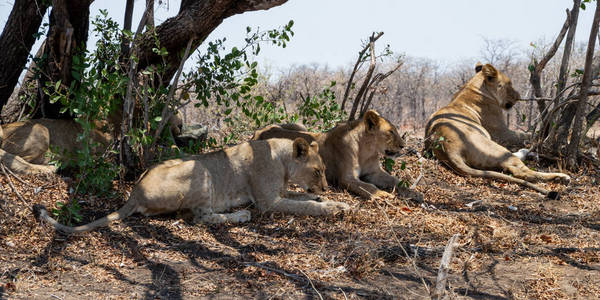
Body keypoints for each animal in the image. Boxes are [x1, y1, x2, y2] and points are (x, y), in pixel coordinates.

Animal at [37, 137, 350, 233]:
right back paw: (240, 215)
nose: (325, 187)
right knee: (200, 218)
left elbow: (302, 199)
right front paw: (334, 206)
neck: (282, 159)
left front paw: (328, 201)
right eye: (318, 171)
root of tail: (134, 192)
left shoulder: (280, 193)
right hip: (200, 171)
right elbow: (305, 206)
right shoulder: (267, 202)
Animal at [252, 109, 422, 200]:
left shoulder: (374, 172)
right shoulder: (346, 178)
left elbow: (396, 180)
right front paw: (383, 194)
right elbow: (368, 186)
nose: (403, 145)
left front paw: (415, 193)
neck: (366, 150)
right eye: (390, 132)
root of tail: (258, 132)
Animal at [424, 63, 568, 199]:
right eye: (509, 84)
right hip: (495, 147)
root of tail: (447, 148)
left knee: (509, 167)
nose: (518, 96)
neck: (474, 86)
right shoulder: (502, 133)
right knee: (523, 172)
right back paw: (560, 177)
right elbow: (524, 134)